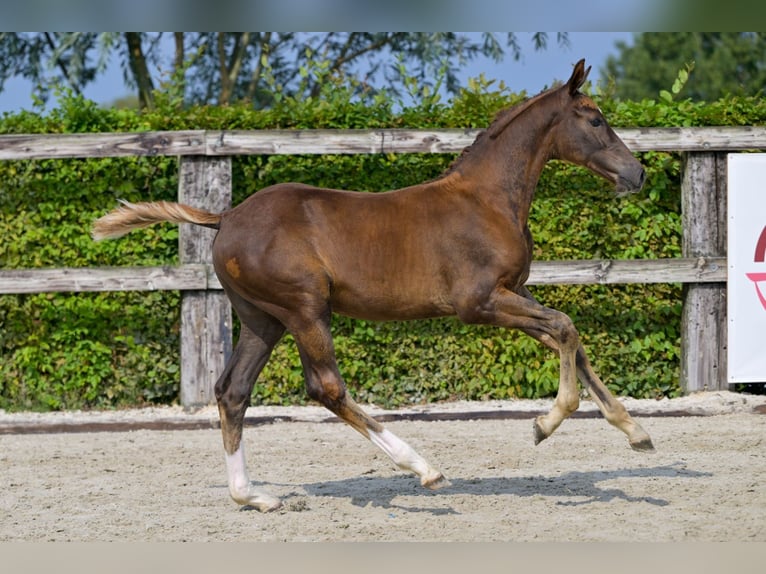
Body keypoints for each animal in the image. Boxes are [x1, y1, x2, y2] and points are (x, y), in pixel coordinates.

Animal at [94, 62, 656, 512]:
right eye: (595, 120)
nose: (638, 173)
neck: (488, 200)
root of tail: (226, 216)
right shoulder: (479, 303)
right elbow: (565, 328)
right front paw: (547, 422)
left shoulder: (512, 293)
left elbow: (572, 341)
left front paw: (636, 432)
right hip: (304, 309)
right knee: (325, 386)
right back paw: (423, 468)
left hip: (262, 319)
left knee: (233, 391)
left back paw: (252, 496)